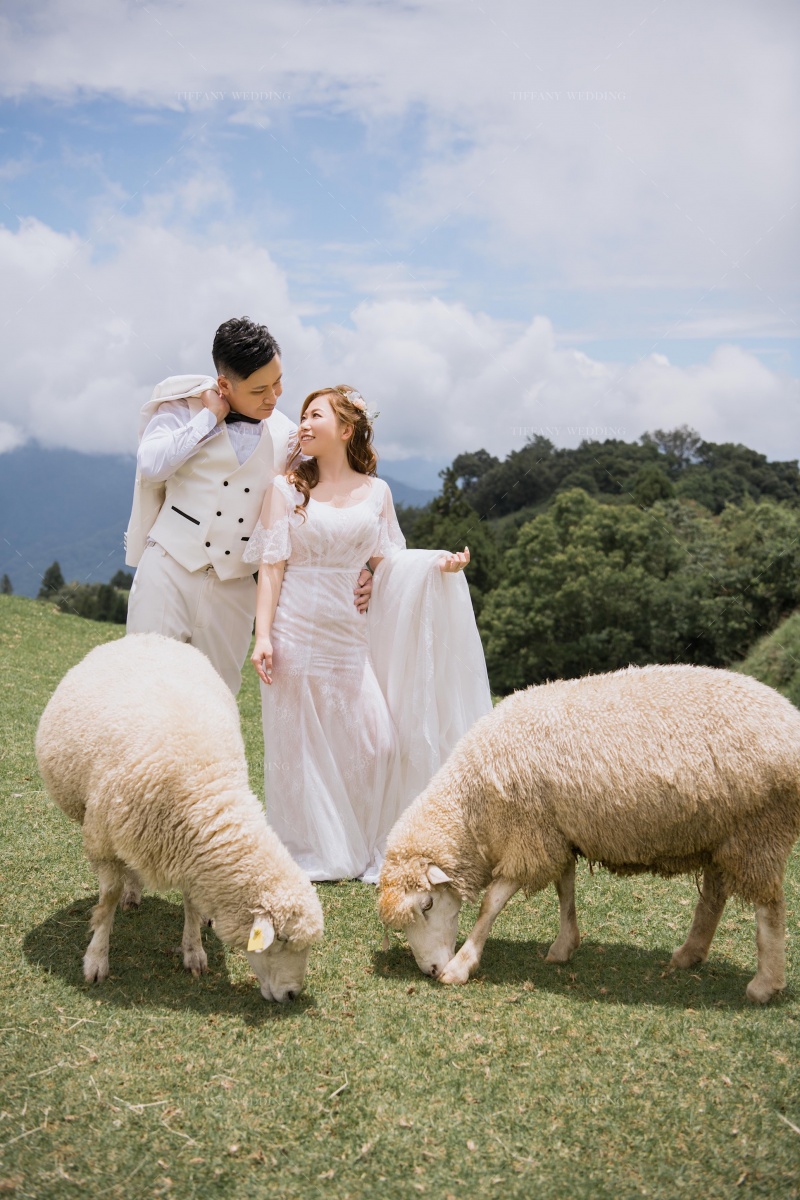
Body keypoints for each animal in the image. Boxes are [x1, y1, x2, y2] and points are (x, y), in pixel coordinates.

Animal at [35, 633, 323, 1002]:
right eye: (283, 939)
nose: (291, 995)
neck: (202, 785)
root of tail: (155, 636)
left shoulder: (188, 850)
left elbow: (192, 902)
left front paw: (194, 951)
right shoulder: (103, 839)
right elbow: (107, 899)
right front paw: (96, 959)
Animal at [378, 664, 800, 1003]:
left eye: (427, 905)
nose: (430, 971)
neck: (472, 804)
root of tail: (789, 716)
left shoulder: (529, 836)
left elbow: (491, 904)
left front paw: (461, 965)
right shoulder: (555, 832)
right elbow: (565, 890)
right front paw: (564, 946)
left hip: (760, 829)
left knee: (770, 908)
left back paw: (764, 985)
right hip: (721, 833)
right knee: (714, 896)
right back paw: (689, 954)